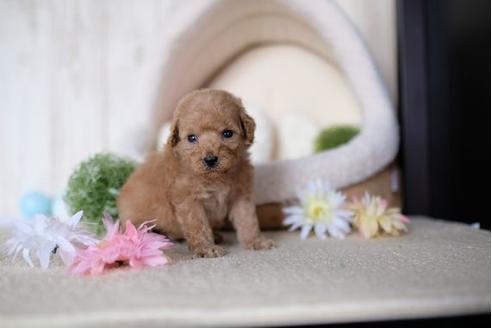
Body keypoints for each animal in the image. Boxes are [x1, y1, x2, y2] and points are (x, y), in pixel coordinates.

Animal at [117, 88, 274, 258]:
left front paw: (255, 241)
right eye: (192, 138)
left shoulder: (240, 195)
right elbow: (198, 225)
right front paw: (206, 248)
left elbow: (247, 219)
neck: (217, 177)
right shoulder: (189, 200)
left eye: (227, 133)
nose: (210, 159)